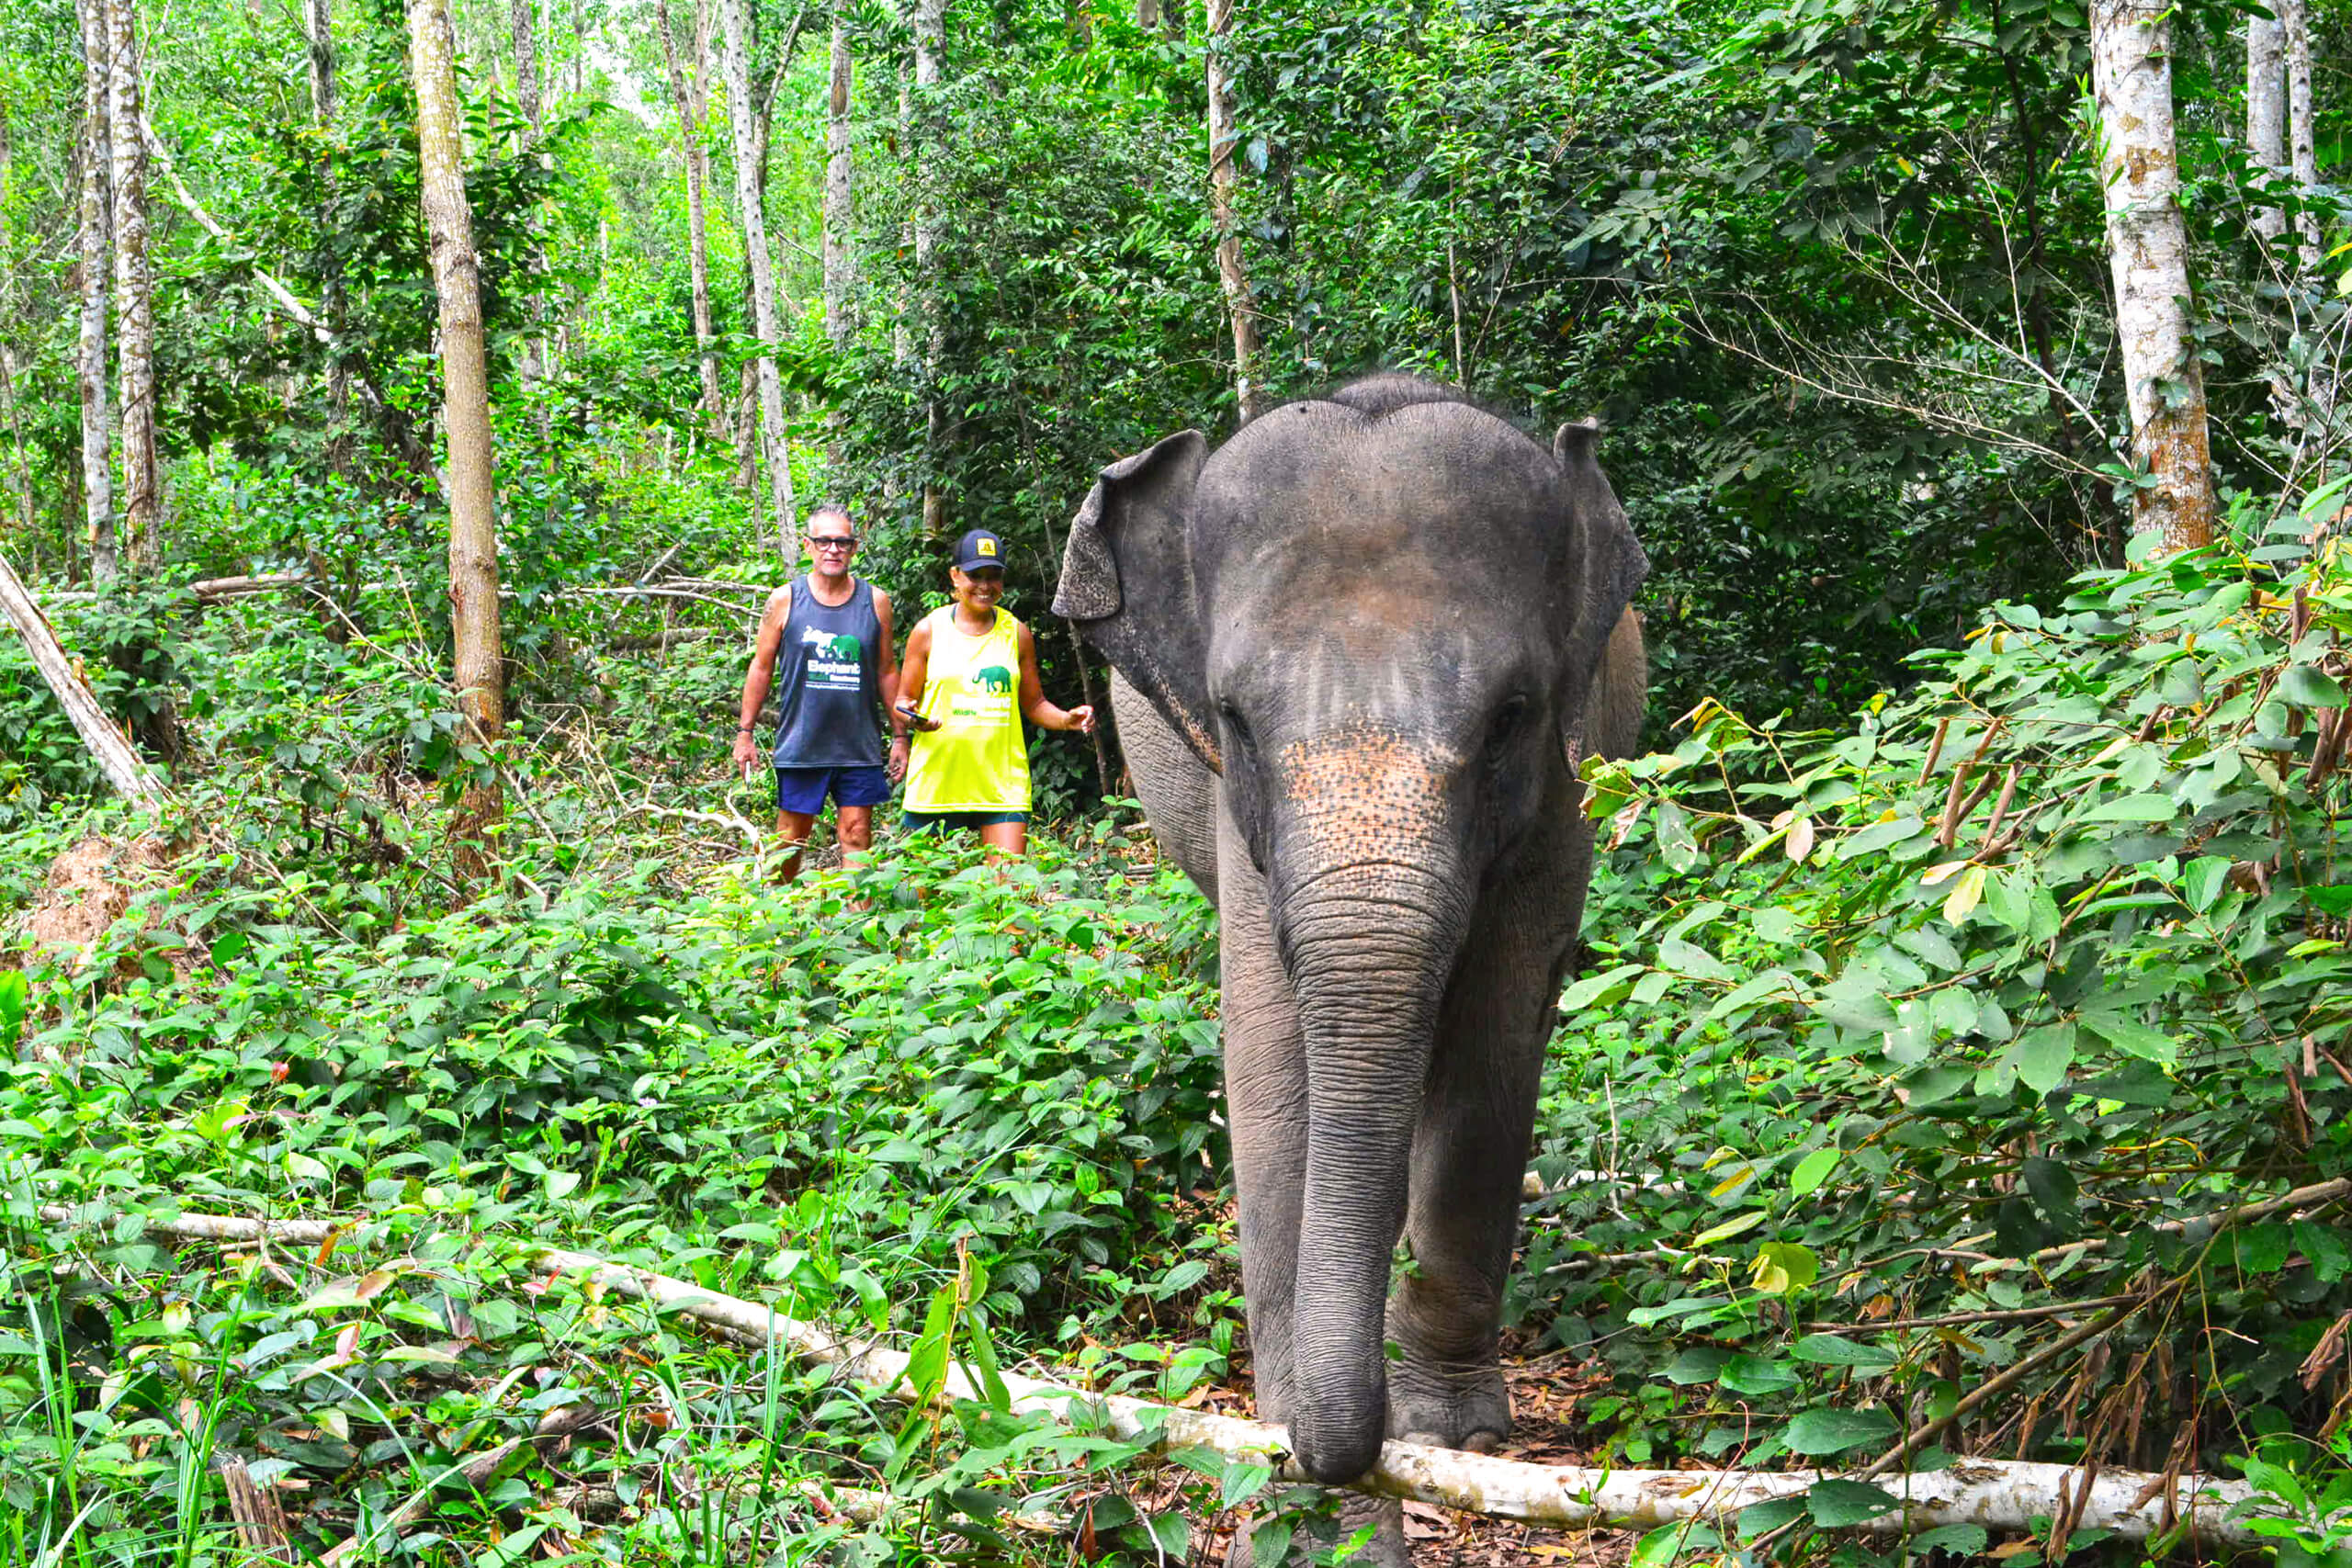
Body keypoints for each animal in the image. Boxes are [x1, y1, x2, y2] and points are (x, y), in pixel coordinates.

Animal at [1054, 374, 1647, 1560]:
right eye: (1232, 717)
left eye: (1511, 715)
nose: (1340, 1459)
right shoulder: (1238, 824)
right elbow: (1270, 1061)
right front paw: (1317, 1521)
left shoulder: (1562, 783)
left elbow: (1499, 1030)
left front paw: (1454, 1436)